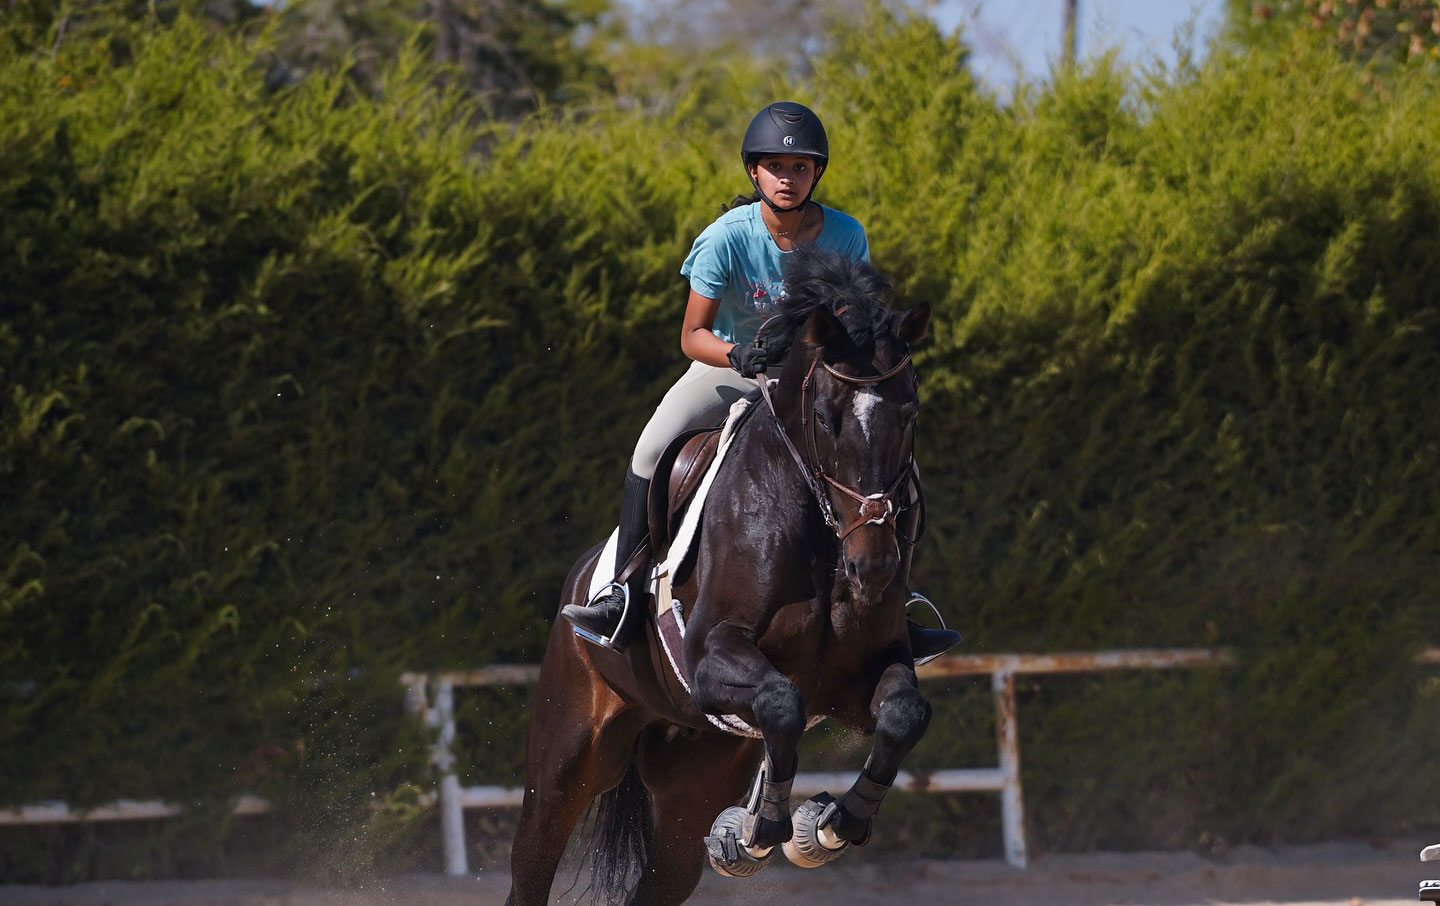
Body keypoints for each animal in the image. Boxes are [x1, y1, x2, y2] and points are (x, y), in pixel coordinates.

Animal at [506, 245, 934, 906]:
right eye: (824, 416)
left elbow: (902, 715)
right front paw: (762, 833)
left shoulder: (864, 675)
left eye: (910, 410)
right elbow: (782, 701)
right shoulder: (712, 658)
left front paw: (833, 825)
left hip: (693, 783)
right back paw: (605, 611)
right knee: (535, 854)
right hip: (566, 759)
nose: (874, 567)